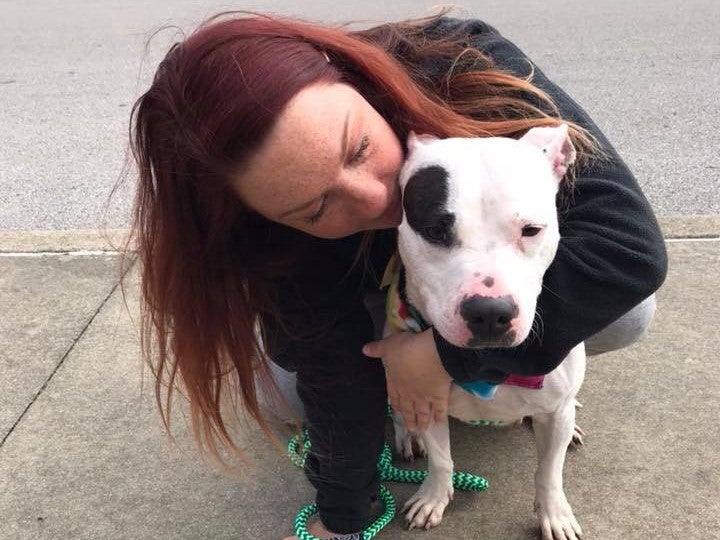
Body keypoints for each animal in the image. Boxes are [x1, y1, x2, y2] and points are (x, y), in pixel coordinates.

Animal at [388, 124, 584, 536]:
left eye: (531, 230)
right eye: (434, 230)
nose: (490, 313)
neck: (487, 366)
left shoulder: (554, 412)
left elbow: (549, 472)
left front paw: (554, 513)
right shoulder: (424, 391)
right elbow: (441, 459)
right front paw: (434, 497)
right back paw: (406, 433)